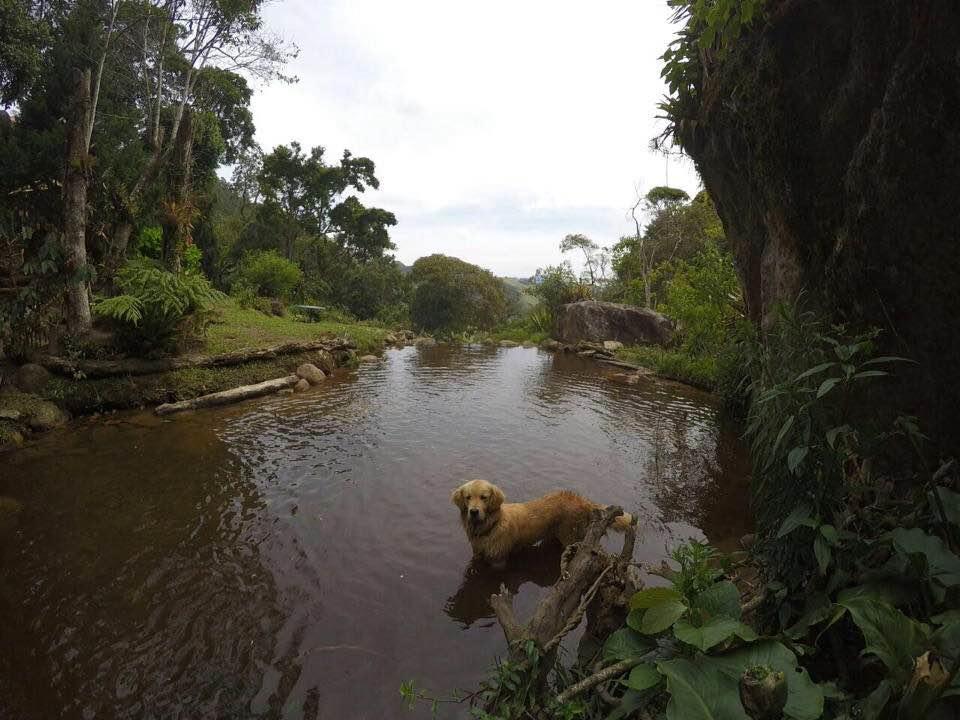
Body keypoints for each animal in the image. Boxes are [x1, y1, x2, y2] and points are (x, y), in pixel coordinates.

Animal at [452, 478, 632, 568]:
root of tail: (581, 501)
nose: (473, 512)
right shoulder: (478, 553)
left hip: (570, 537)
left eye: (484, 497)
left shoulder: (498, 560)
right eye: (468, 497)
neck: (491, 525)